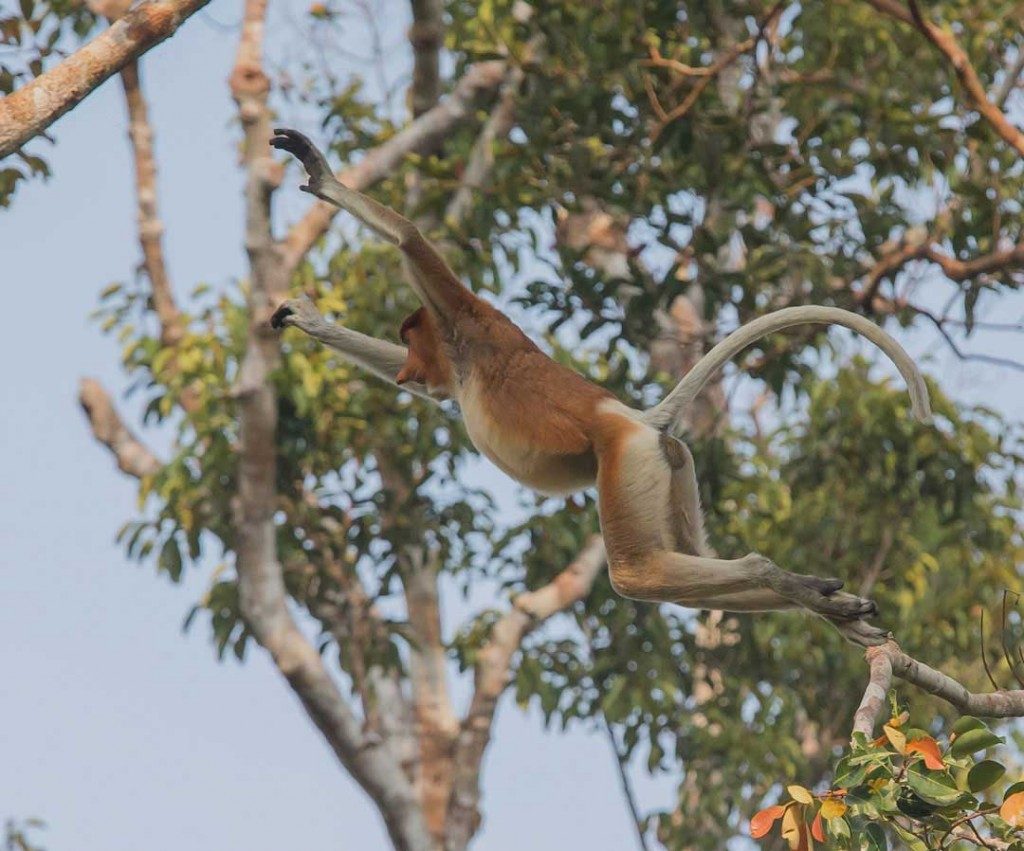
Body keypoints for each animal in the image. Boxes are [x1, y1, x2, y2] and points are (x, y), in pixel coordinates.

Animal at [268, 126, 933, 647]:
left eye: (410, 338)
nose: (408, 366)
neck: (456, 353)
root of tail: (638, 418)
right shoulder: (452, 367)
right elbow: (436, 391)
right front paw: (310, 320)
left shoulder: (471, 322)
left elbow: (411, 241)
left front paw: (323, 177)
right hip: (671, 466)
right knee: (690, 563)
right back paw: (830, 606)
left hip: (625, 461)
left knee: (637, 573)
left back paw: (781, 579)